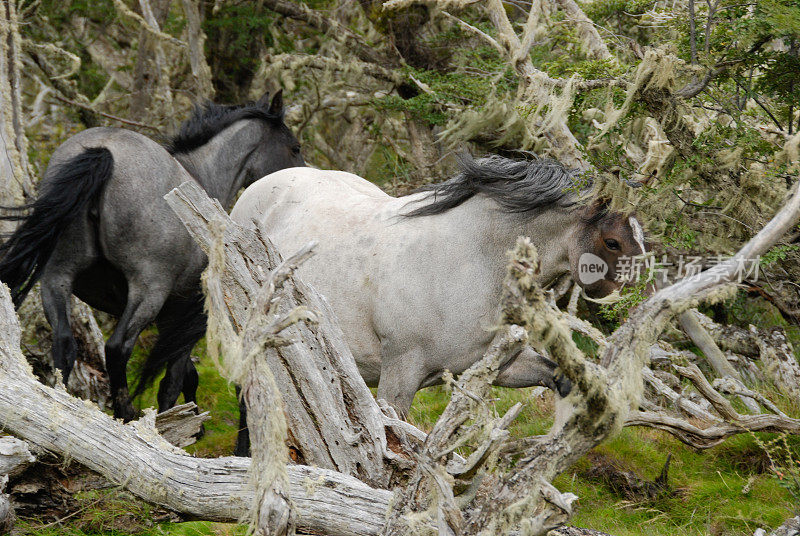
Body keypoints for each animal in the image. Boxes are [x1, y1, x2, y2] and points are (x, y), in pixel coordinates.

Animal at [0, 90, 304, 420]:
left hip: (58, 276)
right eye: (295, 147)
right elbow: (174, 379)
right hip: (148, 290)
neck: (200, 176)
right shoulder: (182, 315)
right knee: (117, 348)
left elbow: (186, 376)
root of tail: (104, 151)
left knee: (64, 342)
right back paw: (125, 412)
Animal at [230, 154, 644, 414]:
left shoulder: (501, 366)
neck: (470, 265)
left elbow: (559, 376)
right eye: (613, 242)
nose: (627, 301)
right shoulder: (399, 378)